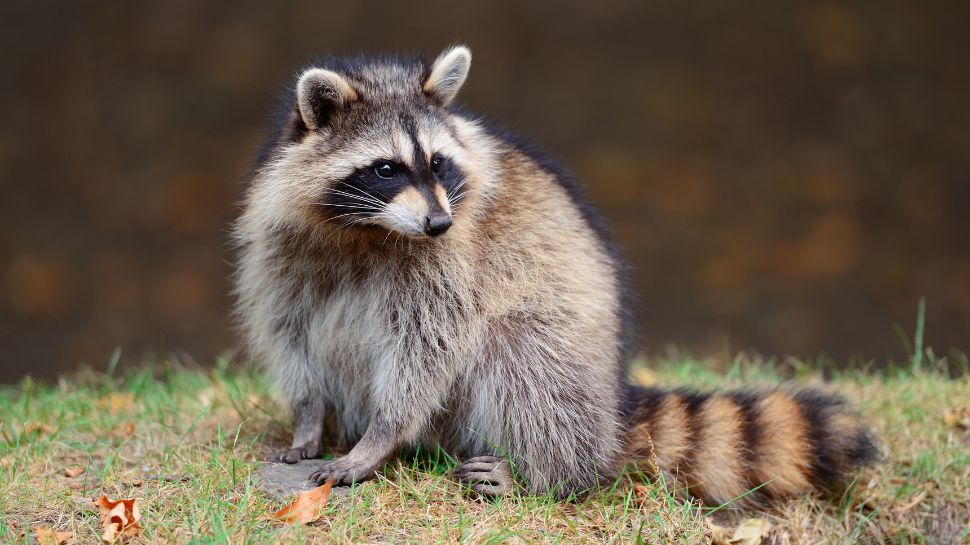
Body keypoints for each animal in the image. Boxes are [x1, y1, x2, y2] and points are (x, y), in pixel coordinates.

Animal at [233, 45, 878, 503]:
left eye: (438, 163)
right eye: (386, 168)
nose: (439, 221)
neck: (368, 229)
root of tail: (613, 400)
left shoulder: (449, 263)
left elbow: (428, 347)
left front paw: (381, 437)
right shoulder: (282, 246)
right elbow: (290, 330)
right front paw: (308, 417)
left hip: (566, 352)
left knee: (524, 359)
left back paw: (547, 473)